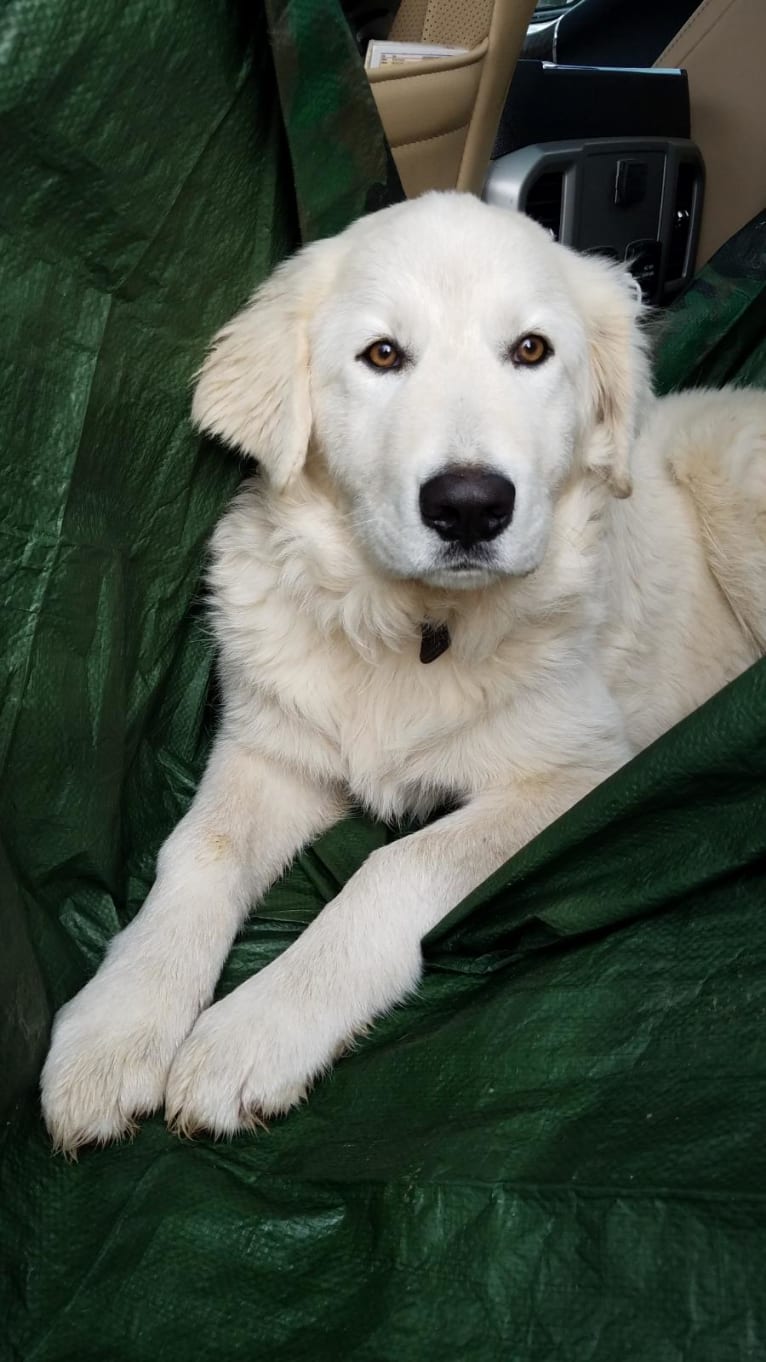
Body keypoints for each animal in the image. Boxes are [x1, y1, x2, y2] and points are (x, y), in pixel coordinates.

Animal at [41, 192, 763, 1149]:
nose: (470, 506)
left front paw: (252, 1033)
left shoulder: (582, 778)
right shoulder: (273, 748)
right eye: (382, 355)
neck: (416, 627)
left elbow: (398, 868)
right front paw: (115, 1026)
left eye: (531, 350)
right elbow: (199, 846)